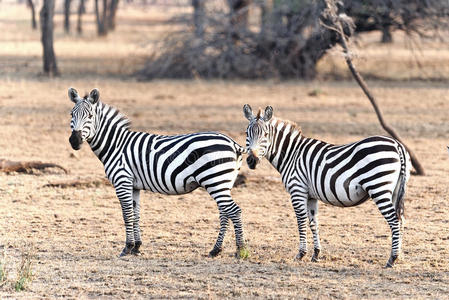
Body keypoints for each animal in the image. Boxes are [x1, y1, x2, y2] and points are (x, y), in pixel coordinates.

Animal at [68, 87, 247, 258]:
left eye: (90, 116)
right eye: (71, 114)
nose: (74, 141)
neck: (116, 145)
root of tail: (233, 143)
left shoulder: (122, 181)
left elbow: (127, 214)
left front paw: (127, 247)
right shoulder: (134, 186)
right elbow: (136, 214)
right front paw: (137, 247)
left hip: (214, 180)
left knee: (234, 211)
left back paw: (240, 250)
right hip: (222, 183)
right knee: (224, 212)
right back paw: (216, 250)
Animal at [242, 103, 410, 268]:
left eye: (265, 135)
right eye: (246, 133)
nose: (252, 161)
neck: (292, 154)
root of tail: (397, 144)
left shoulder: (297, 190)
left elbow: (301, 221)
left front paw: (301, 254)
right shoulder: (311, 196)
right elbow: (313, 223)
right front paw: (316, 254)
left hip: (379, 188)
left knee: (394, 221)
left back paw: (392, 259)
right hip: (395, 190)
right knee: (401, 220)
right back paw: (399, 256)